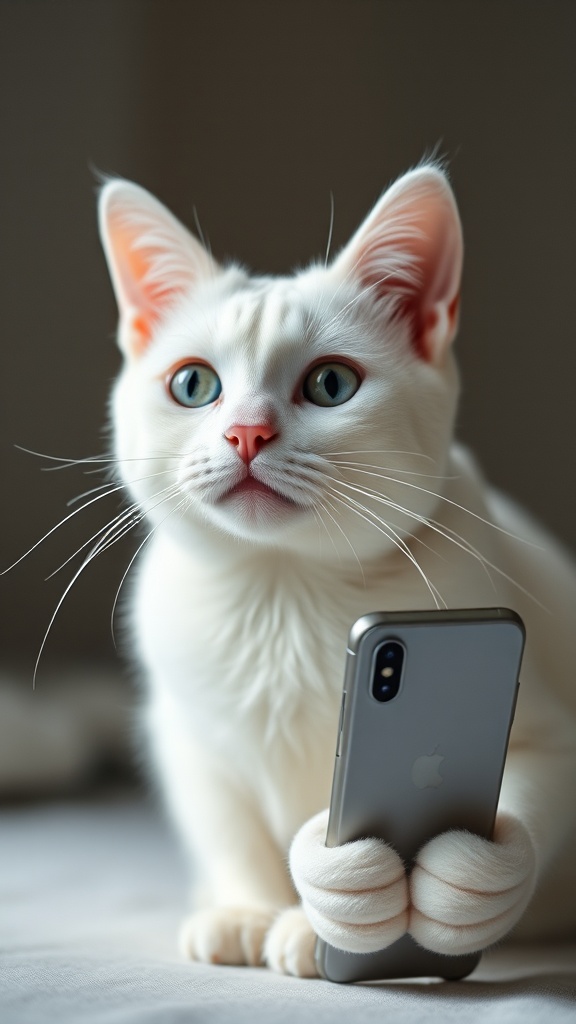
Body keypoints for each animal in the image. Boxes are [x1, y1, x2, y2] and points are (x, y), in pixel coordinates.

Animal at [97, 165, 573, 974]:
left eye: (330, 385)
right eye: (193, 385)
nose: (246, 432)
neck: (282, 590)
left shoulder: (546, 721)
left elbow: (527, 792)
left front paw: (457, 889)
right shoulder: (185, 734)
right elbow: (227, 826)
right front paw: (250, 907)